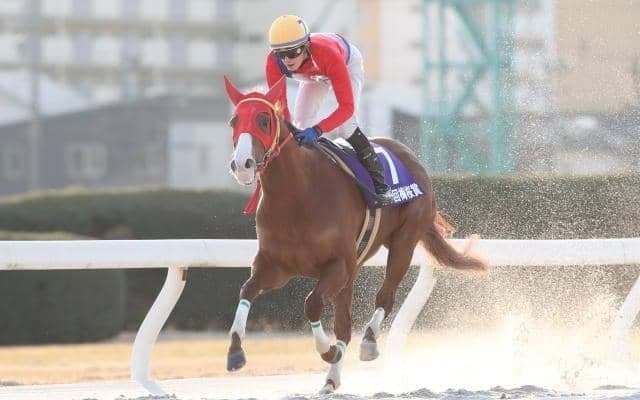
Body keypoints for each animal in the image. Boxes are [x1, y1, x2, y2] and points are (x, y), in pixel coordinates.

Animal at [223, 76, 487, 393]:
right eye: (234, 120)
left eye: (263, 120)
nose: (242, 164)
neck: (298, 194)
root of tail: (410, 156)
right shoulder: (276, 266)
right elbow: (247, 290)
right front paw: (235, 352)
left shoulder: (338, 264)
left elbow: (312, 304)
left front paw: (327, 351)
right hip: (353, 269)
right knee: (345, 324)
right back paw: (331, 380)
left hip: (404, 241)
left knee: (385, 297)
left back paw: (369, 343)